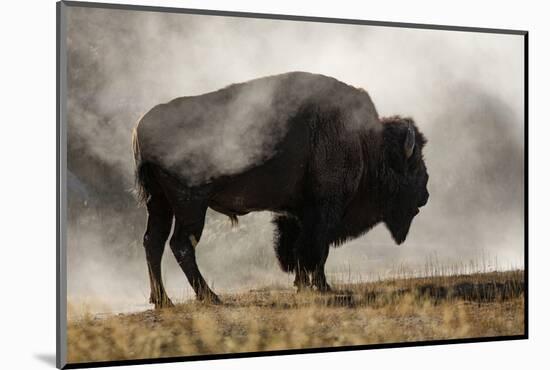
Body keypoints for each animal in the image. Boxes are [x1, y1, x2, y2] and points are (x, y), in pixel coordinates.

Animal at [133, 71, 432, 308]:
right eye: (414, 162)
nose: (426, 194)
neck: (365, 141)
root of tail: (141, 127)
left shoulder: (298, 213)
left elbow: (300, 249)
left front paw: (304, 285)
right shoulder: (324, 209)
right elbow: (317, 249)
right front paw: (321, 286)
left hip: (160, 202)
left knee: (153, 241)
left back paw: (163, 301)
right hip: (190, 204)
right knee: (181, 244)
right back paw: (210, 296)